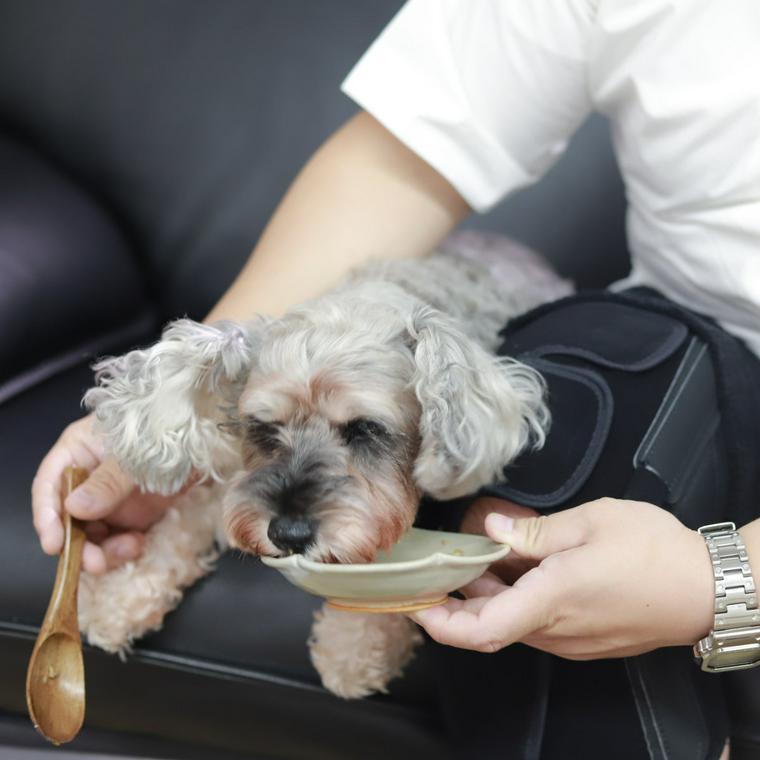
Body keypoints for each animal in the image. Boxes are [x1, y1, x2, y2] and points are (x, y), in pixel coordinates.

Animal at [78, 230, 568, 696]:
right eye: (264, 428)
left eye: (365, 429)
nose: (288, 534)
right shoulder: (234, 484)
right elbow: (181, 522)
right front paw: (118, 598)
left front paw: (352, 650)